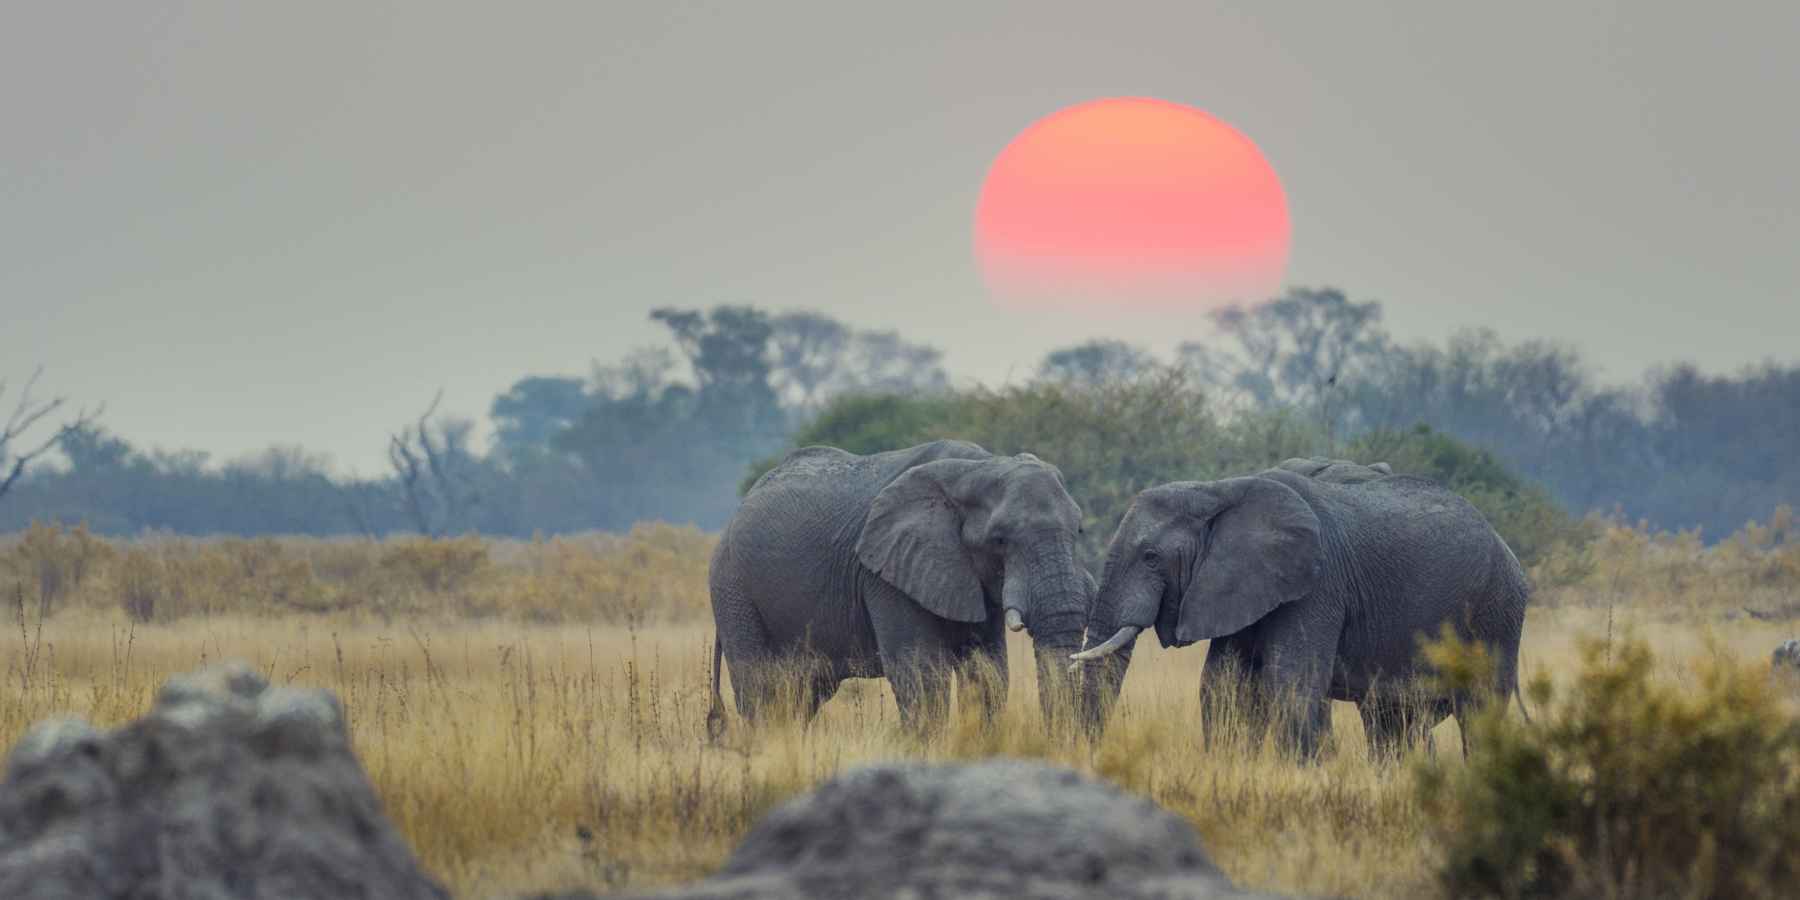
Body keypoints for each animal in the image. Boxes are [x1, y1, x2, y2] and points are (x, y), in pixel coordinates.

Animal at [709, 439, 1087, 734]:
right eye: (999, 540)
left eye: (1079, 531)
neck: (976, 468)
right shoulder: (885, 573)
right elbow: (921, 671)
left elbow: (987, 671)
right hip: (732, 589)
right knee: (760, 688)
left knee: (803, 694)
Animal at [1065, 460, 1533, 756]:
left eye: (1150, 557)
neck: (1218, 489)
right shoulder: (1237, 586)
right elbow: (1223, 685)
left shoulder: (1317, 586)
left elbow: (1292, 682)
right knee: (1393, 721)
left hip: (1496, 613)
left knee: (1478, 712)